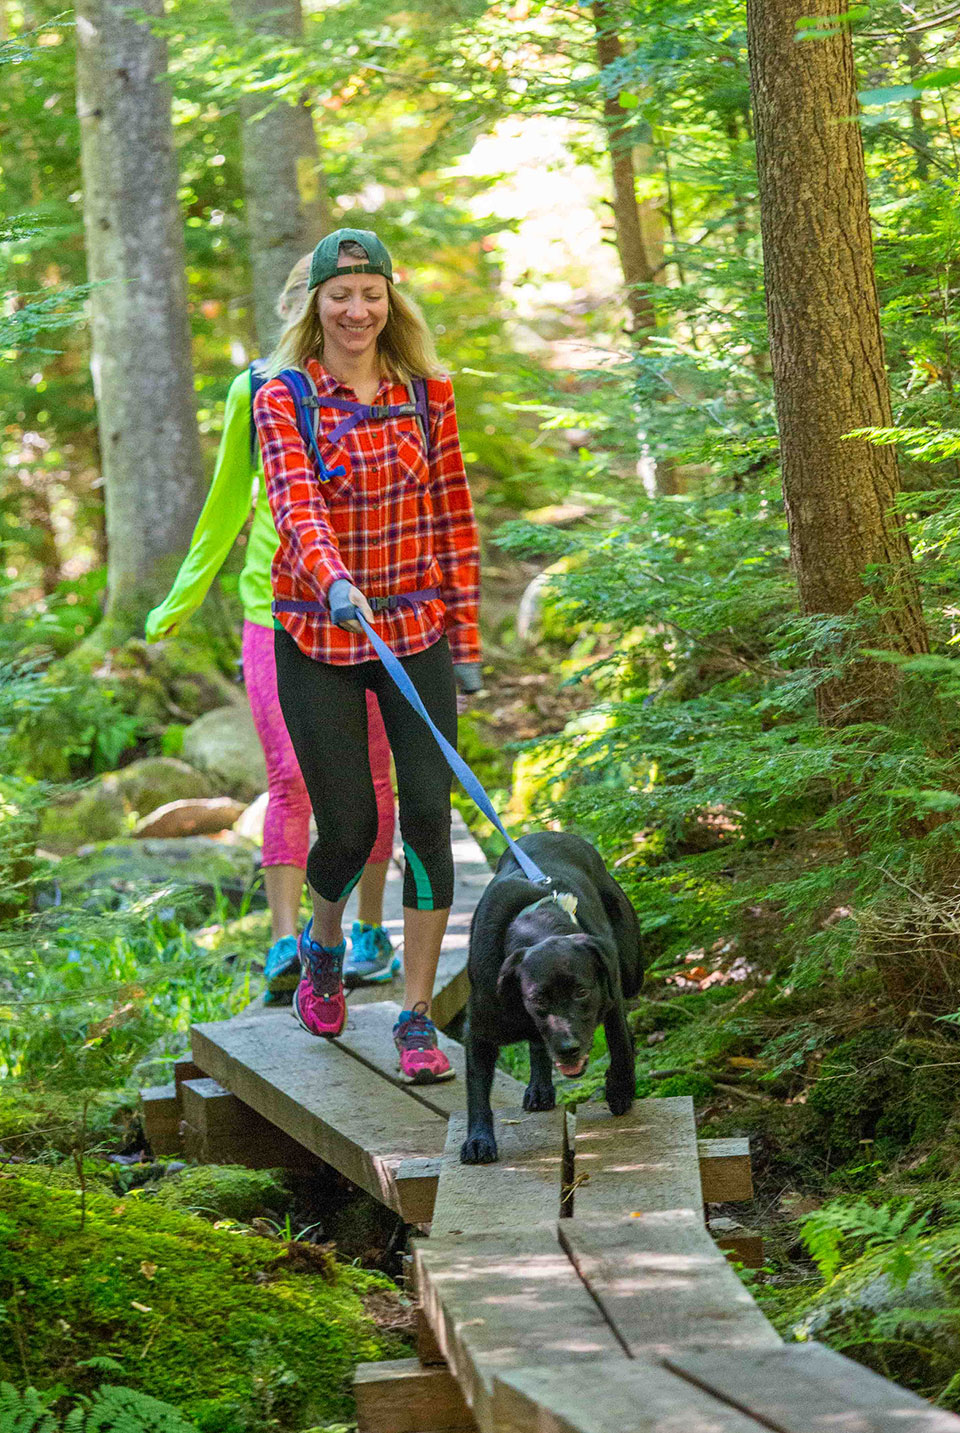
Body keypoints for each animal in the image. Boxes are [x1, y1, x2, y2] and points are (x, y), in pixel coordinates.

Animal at [461, 831, 647, 1163]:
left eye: (582, 992)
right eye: (537, 1000)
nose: (568, 1049)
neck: (537, 928)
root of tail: (552, 832)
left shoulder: (609, 990)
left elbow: (619, 1041)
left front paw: (620, 1089)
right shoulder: (480, 1030)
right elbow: (477, 1087)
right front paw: (479, 1140)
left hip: (631, 969)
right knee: (538, 1043)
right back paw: (540, 1088)